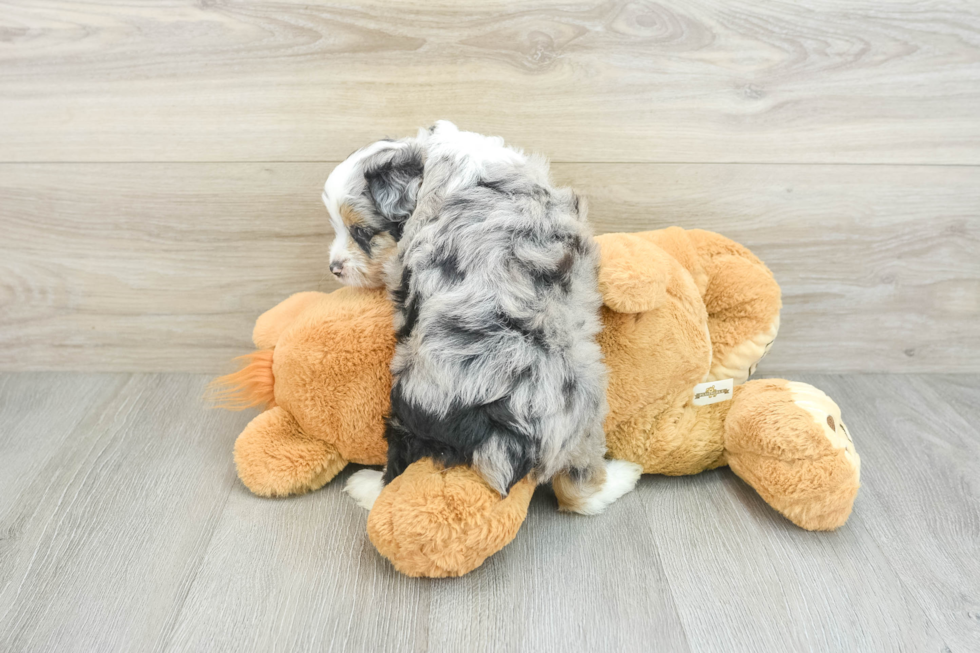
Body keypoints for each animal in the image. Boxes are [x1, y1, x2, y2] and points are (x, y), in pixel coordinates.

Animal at [326, 119, 640, 512]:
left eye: (362, 232)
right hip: (586, 404)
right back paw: (623, 475)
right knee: (581, 491)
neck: (435, 162)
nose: (334, 267)